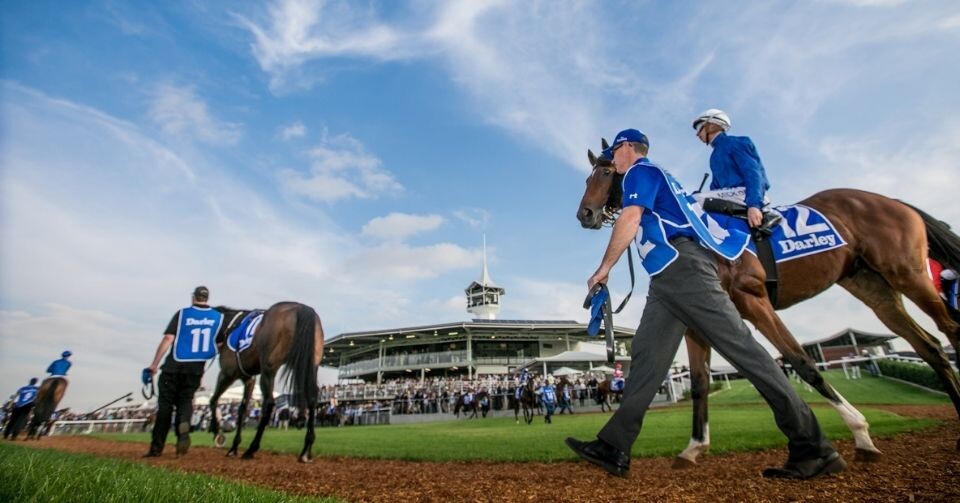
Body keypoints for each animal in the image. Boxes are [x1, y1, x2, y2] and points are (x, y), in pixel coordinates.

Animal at [208, 302, 324, 462]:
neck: (229, 326)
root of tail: (302, 308)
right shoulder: (248, 378)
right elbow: (242, 409)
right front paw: (234, 446)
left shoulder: (227, 374)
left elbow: (214, 400)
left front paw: (216, 431)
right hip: (309, 365)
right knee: (312, 398)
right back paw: (306, 450)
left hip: (268, 369)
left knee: (269, 403)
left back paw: (251, 449)